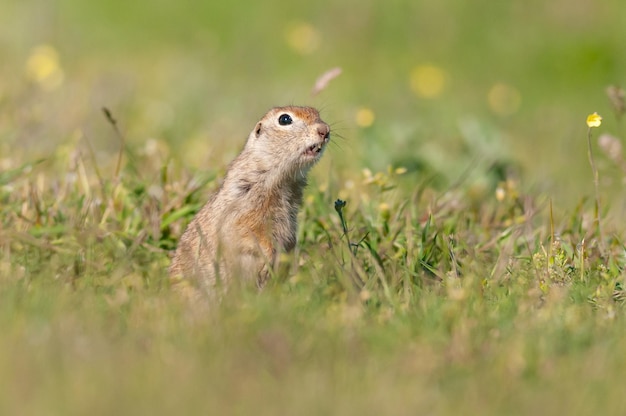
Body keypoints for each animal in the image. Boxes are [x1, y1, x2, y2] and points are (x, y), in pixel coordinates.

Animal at [166, 105, 332, 300]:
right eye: (284, 119)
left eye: (317, 114)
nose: (325, 130)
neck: (281, 177)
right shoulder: (243, 211)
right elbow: (250, 236)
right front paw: (269, 261)